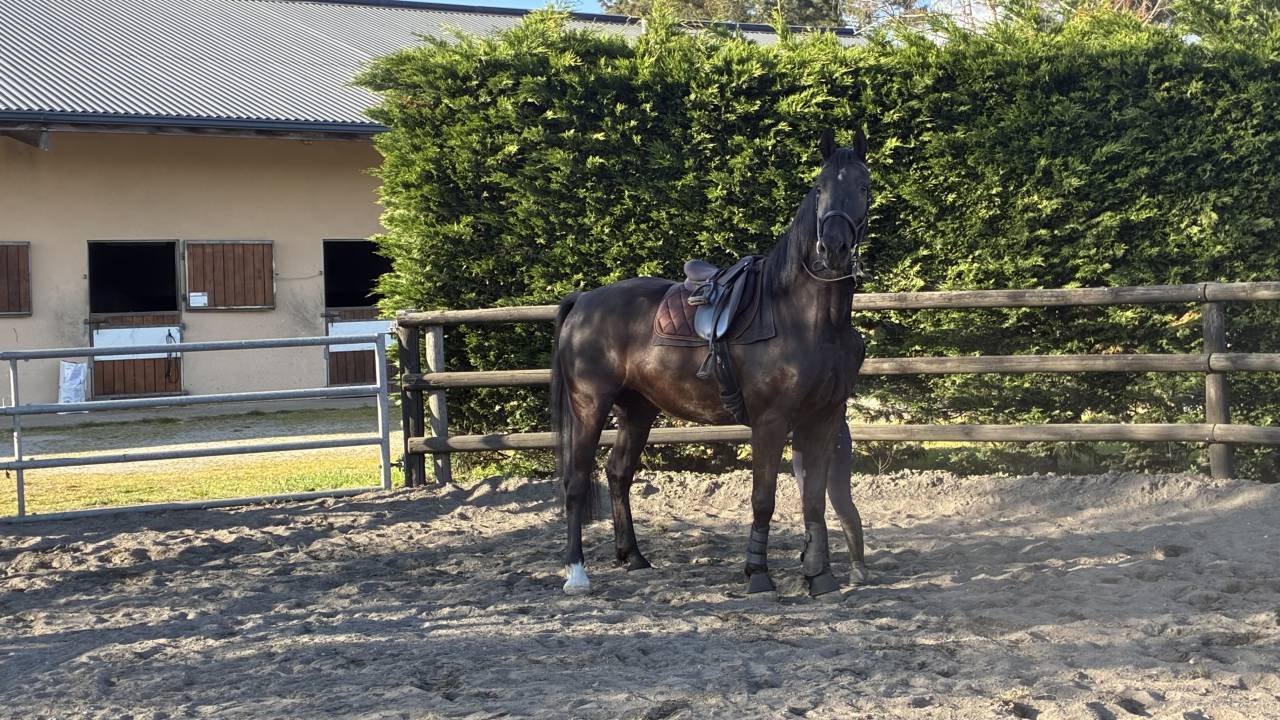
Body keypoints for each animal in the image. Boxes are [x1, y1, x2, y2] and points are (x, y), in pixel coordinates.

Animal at [550, 129, 870, 597]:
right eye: (819, 188)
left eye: (864, 187)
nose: (832, 248)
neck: (806, 318)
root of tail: (585, 300)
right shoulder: (771, 421)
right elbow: (764, 498)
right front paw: (758, 574)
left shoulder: (824, 417)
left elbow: (812, 499)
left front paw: (820, 577)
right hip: (589, 406)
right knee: (576, 482)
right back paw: (577, 573)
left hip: (637, 409)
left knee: (618, 473)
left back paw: (635, 557)